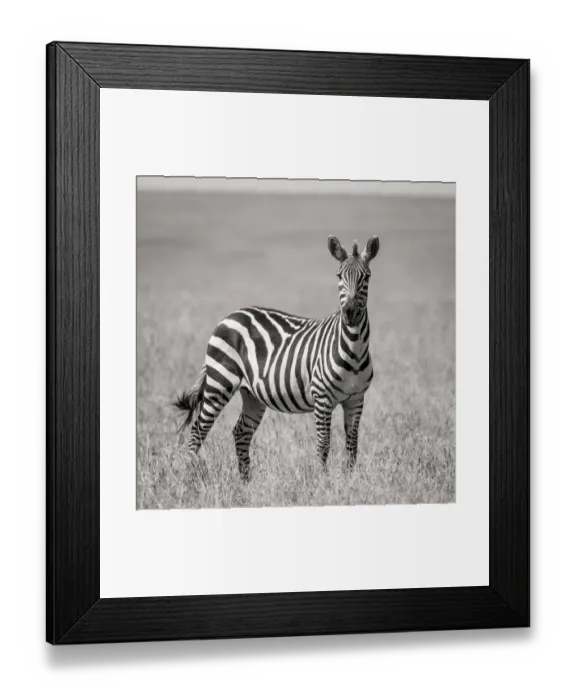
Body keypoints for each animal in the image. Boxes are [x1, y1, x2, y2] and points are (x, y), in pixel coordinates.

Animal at [174, 235, 380, 480]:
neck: (354, 350)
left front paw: (349, 481)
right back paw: (189, 477)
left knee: (240, 432)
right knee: (198, 430)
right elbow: (323, 444)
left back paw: (246, 482)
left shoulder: (356, 399)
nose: (349, 313)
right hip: (219, 384)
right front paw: (323, 481)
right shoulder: (322, 397)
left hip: (252, 395)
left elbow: (352, 446)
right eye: (339, 276)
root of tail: (230, 315)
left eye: (366, 277)